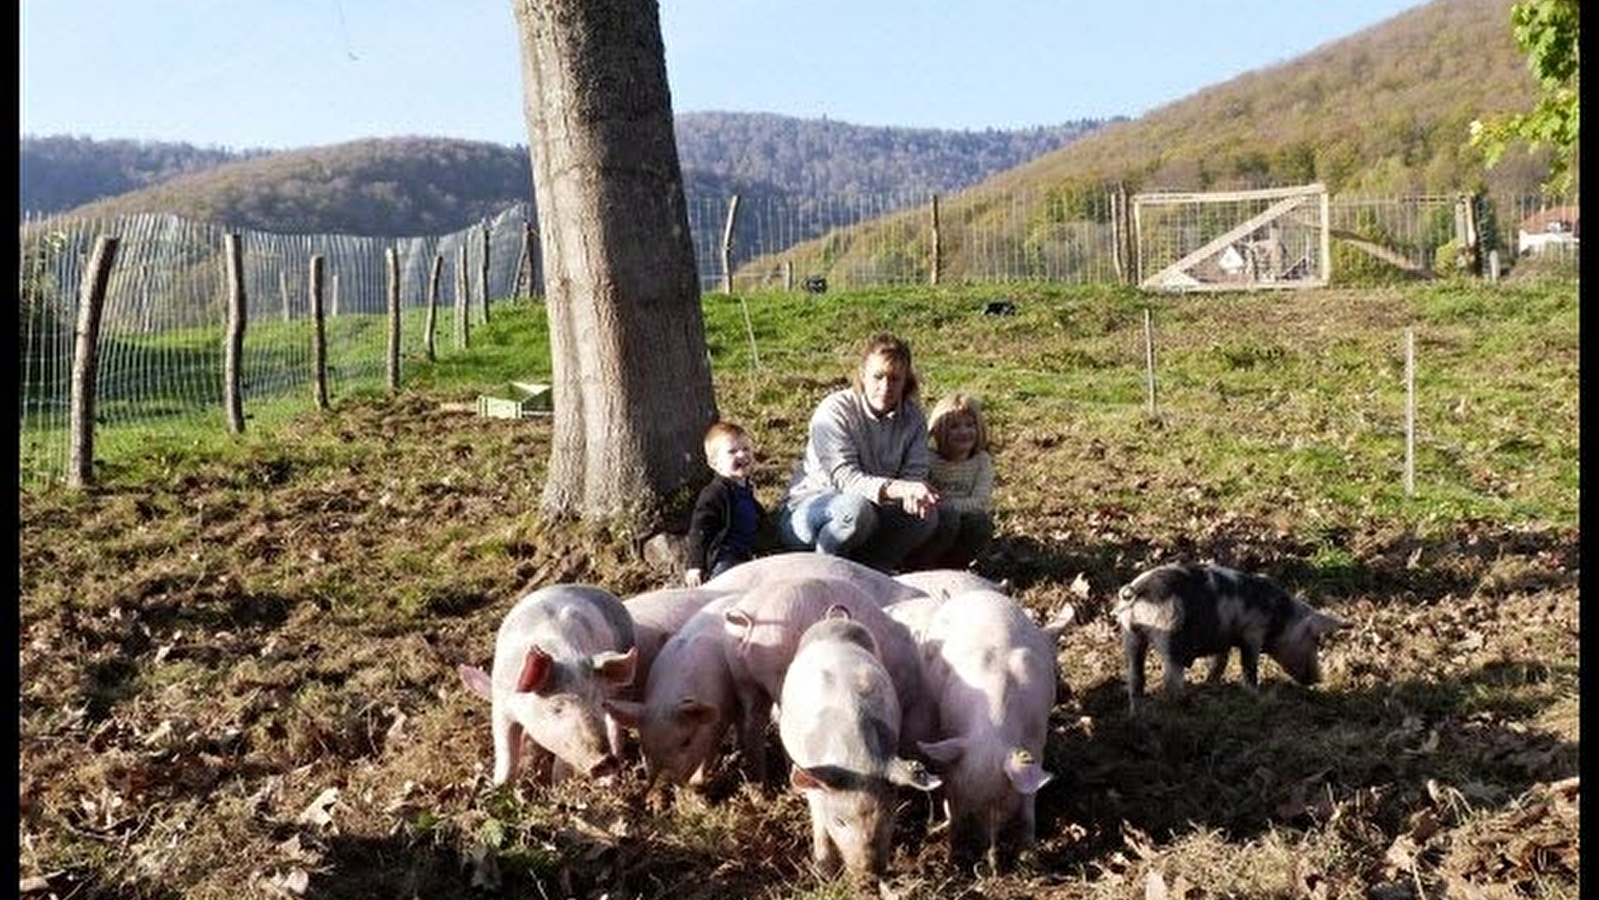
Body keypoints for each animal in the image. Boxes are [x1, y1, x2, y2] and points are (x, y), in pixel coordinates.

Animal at [457, 585, 636, 789]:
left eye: (598, 705)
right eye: (556, 708)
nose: (604, 761)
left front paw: (557, 786)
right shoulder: (501, 705)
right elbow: (505, 751)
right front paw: (497, 787)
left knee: (615, 728)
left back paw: (608, 782)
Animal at [780, 613, 940, 882]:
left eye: (889, 815)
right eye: (840, 822)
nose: (869, 877)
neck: (857, 760)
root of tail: (834, 618)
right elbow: (818, 815)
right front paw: (825, 873)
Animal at [1112, 559, 1349, 716]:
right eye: (1315, 641)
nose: (1319, 678)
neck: (1281, 616)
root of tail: (1137, 591)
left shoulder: (1223, 639)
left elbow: (1221, 661)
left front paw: (1211, 682)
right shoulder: (1253, 632)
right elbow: (1249, 666)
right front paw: (1258, 696)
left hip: (1131, 635)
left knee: (1135, 678)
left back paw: (1137, 714)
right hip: (1168, 634)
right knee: (1171, 679)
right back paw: (1191, 705)